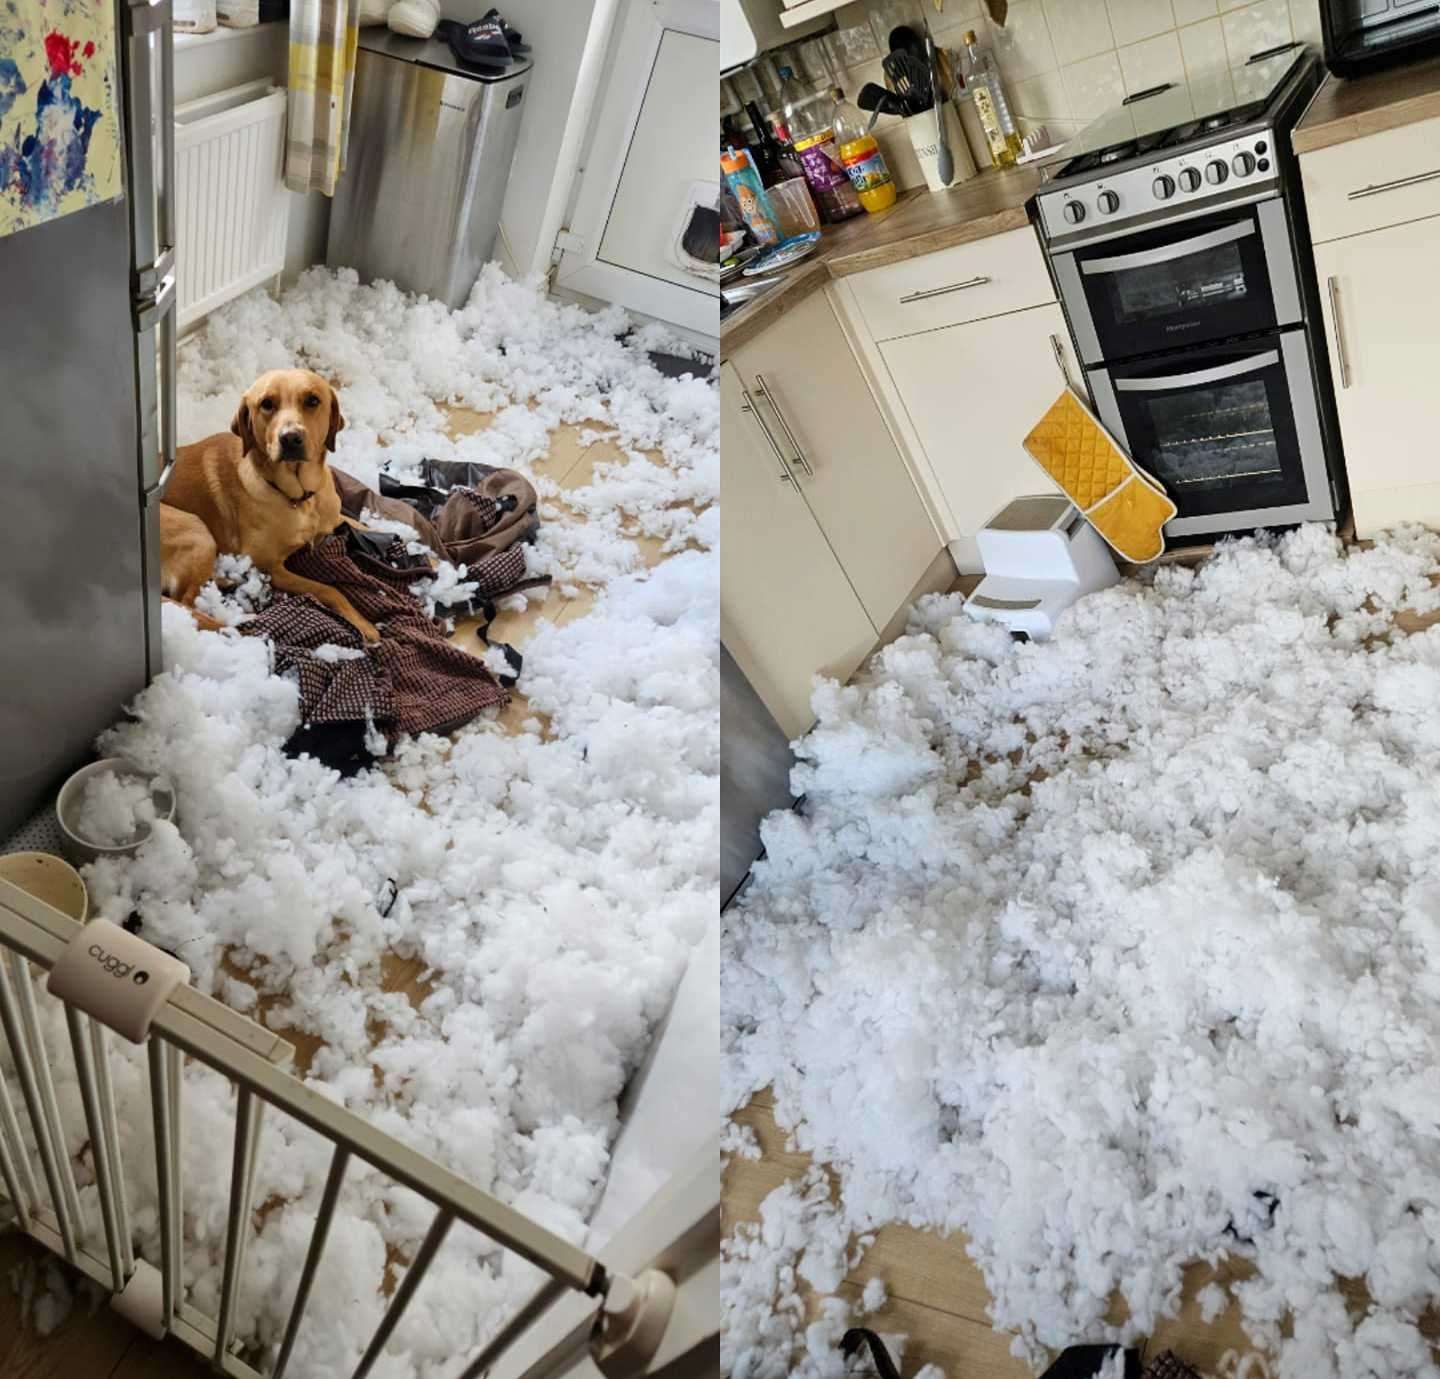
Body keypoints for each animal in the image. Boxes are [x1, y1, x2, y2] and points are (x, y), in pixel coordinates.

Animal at [160, 368, 380, 644]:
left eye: (312, 400)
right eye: (266, 404)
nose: (290, 438)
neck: (299, 498)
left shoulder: (331, 517)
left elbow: (365, 525)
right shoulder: (271, 567)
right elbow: (328, 589)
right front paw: (364, 624)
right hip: (195, 529)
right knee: (188, 604)